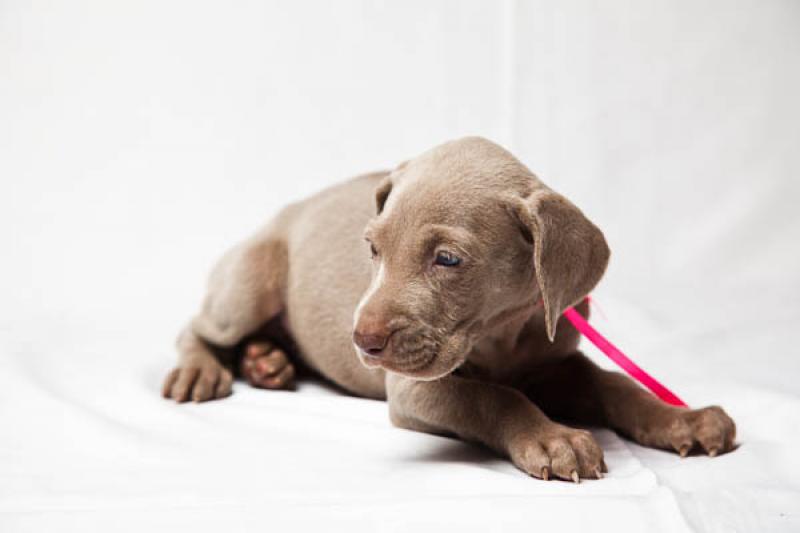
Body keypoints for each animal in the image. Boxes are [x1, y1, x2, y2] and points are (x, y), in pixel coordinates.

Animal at [162, 135, 736, 480]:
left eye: (447, 259)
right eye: (373, 249)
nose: (362, 341)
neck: (503, 337)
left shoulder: (556, 359)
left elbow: (614, 384)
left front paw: (681, 419)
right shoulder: (412, 386)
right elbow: (492, 397)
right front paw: (553, 438)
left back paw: (267, 362)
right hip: (247, 284)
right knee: (197, 327)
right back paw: (200, 370)